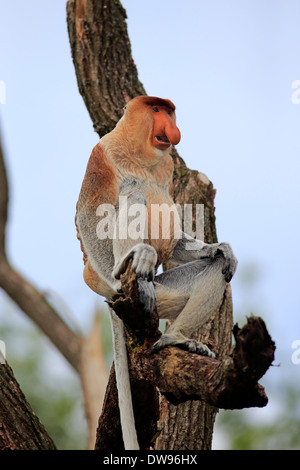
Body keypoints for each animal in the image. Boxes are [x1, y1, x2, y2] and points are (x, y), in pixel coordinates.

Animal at [76, 94, 238, 448]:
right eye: (155, 109)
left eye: (168, 110)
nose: (170, 124)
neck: (141, 153)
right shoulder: (103, 151)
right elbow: (90, 214)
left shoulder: (168, 167)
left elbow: (190, 247)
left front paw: (220, 249)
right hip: (128, 276)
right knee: (132, 194)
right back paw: (133, 265)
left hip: (167, 290)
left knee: (214, 272)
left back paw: (179, 338)